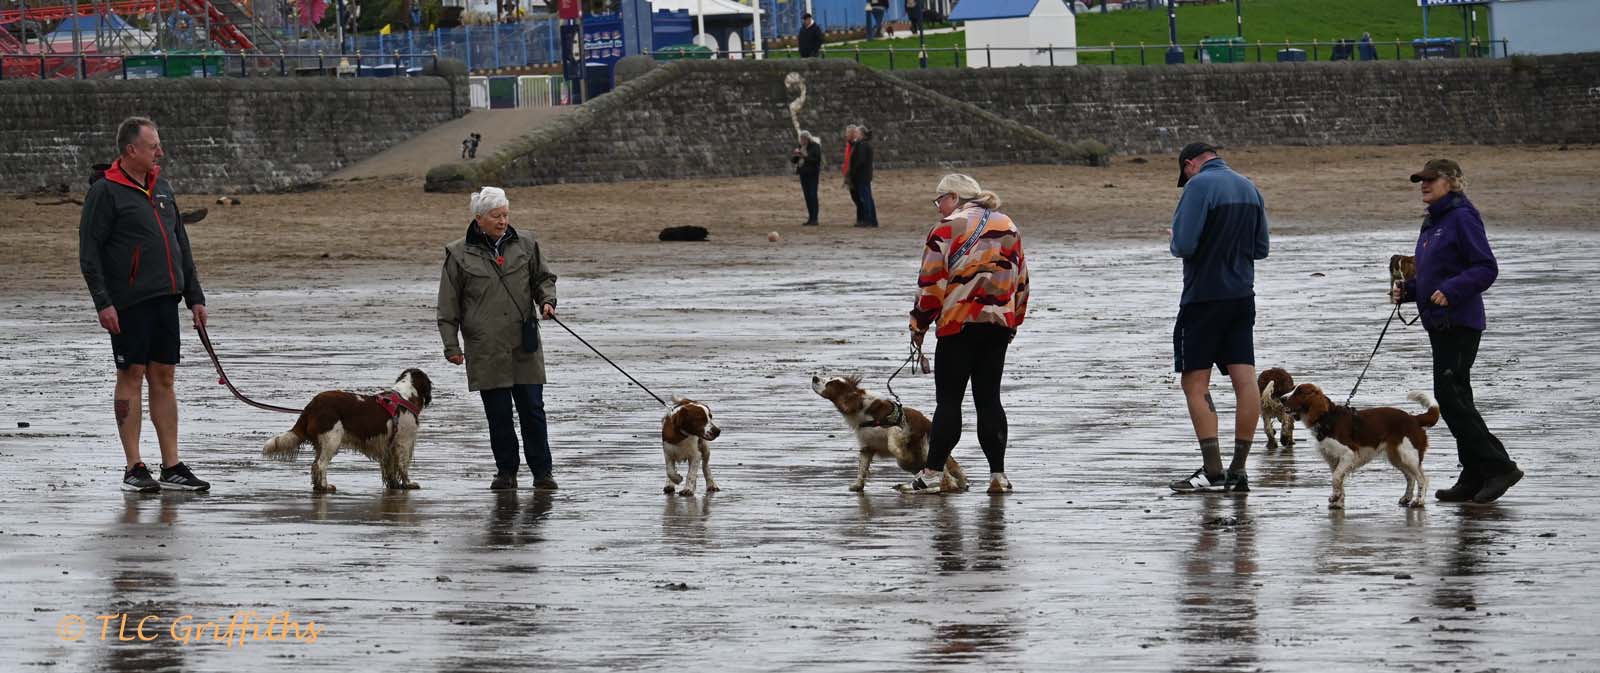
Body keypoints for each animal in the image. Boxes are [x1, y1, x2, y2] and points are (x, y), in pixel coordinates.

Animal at [263, 369, 433, 493]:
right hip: (332, 439)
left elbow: (391, 469)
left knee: (315, 465)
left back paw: (318, 486)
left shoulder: (389, 446)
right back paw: (325, 487)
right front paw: (408, 484)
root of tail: (312, 405)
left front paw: (394, 485)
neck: (405, 396)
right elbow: (403, 466)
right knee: (321, 464)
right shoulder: (404, 441)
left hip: (322, 442)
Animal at [810, 374, 969, 492]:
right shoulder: (867, 446)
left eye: (830, 383)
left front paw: (904, 455)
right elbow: (862, 467)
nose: (814, 377)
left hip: (926, 449)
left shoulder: (897, 427)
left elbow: (893, 443)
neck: (862, 410)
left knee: (949, 481)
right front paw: (857, 485)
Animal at [1277, 383, 1439, 509]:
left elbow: (1336, 478)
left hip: (1408, 455)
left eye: (1300, 392)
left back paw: (1419, 501)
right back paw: (1406, 498)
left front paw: (1334, 497)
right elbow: (1339, 480)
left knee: (1423, 478)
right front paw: (1338, 502)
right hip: (1396, 456)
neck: (1327, 418)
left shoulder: (1348, 454)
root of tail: (1414, 419)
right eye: (1292, 389)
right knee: (1410, 477)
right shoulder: (1333, 459)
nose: (1281, 398)